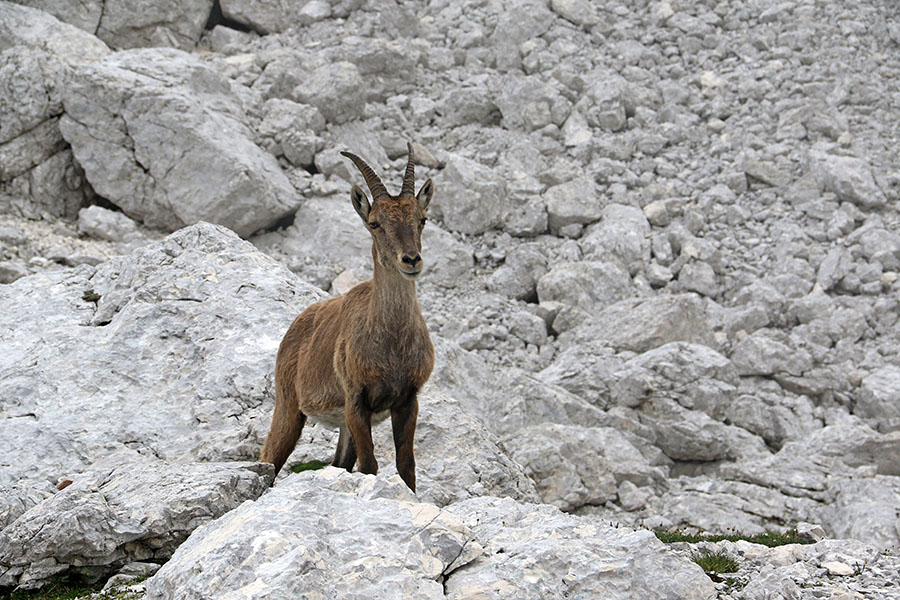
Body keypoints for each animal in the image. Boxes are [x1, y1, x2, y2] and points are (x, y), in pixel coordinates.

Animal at [260, 143, 435, 492]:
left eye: (421, 219)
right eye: (375, 223)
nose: (411, 260)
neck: (391, 343)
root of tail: (294, 328)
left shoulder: (407, 398)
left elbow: (406, 465)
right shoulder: (355, 398)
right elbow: (369, 465)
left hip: (341, 425)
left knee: (339, 463)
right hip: (288, 407)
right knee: (269, 457)